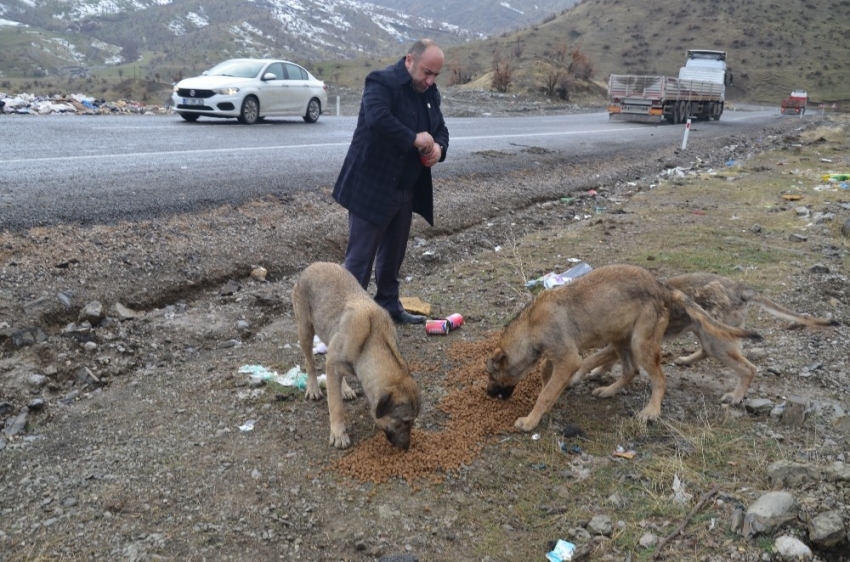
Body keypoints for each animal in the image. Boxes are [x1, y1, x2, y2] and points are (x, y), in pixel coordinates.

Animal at [290, 260, 420, 448]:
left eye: (413, 421)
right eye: (405, 421)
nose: (407, 447)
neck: (373, 340)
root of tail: (315, 264)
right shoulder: (333, 364)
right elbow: (335, 405)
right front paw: (338, 433)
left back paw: (344, 388)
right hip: (305, 330)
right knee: (310, 362)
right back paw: (313, 387)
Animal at [484, 262, 756, 428]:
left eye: (492, 375)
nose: (487, 394)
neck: (530, 326)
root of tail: (664, 289)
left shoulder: (568, 358)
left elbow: (546, 392)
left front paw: (531, 420)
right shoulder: (555, 356)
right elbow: (546, 379)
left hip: (641, 344)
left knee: (659, 379)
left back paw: (652, 411)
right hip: (621, 338)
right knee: (630, 370)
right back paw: (608, 391)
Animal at [584, 272, 836, 402]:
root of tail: (739, 290)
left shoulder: (626, 343)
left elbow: (604, 358)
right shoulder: (621, 344)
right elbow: (609, 360)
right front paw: (599, 372)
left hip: (717, 342)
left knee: (749, 369)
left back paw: (736, 397)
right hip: (708, 334)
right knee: (706, 351)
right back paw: (686, 360)